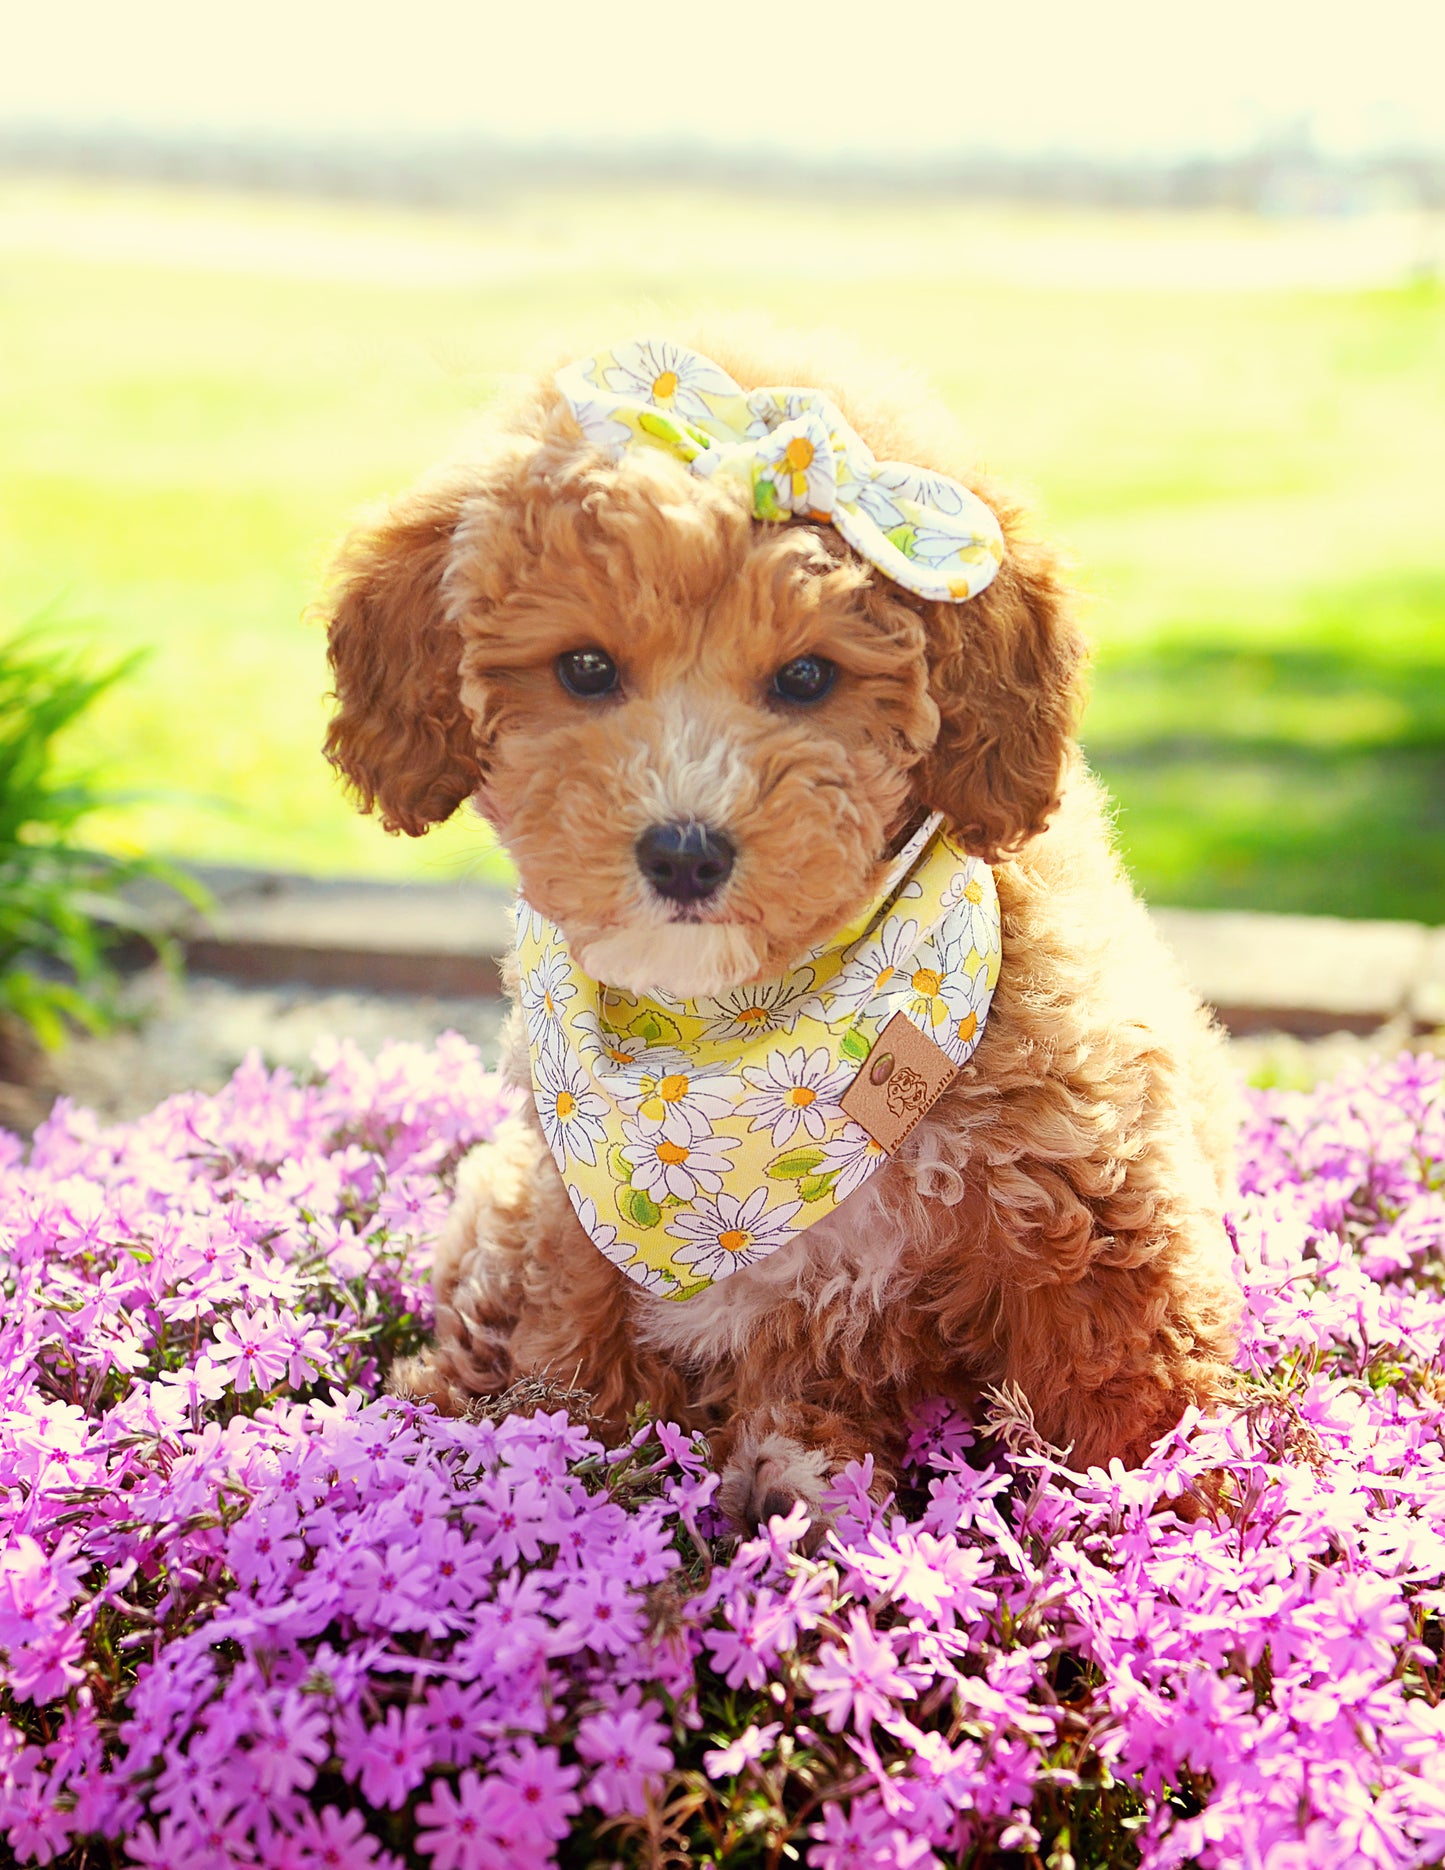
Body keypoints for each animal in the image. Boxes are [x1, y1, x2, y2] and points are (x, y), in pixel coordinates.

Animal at [323, 332, 1241, 1533]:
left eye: (807, 676)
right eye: (583, 668)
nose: (683, 850)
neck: (743, 1027)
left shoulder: (1095, 1199)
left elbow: (1133, 1394)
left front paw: (1182, 1537)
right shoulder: (576, 1237)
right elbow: (577, 1378)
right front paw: (562, 1493)